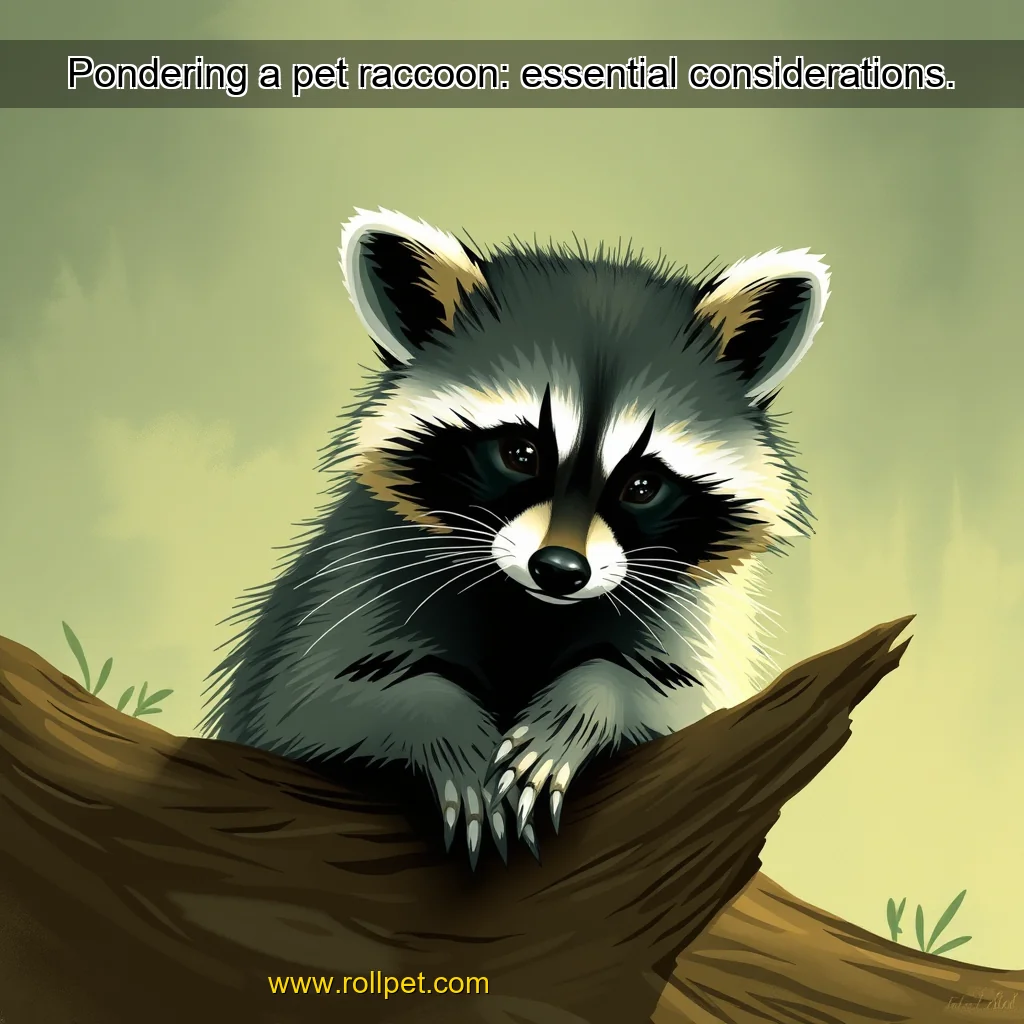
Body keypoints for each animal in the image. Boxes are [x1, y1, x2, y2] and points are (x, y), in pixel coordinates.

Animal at [201, 208, 829, 867]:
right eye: (520, 453)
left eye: (641, 484)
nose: (560, 569)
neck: (534, 605)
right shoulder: (360, 568)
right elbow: (309, 698)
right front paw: (443, 720)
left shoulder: (693, 615)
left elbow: (683, 700)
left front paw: (585, 703)